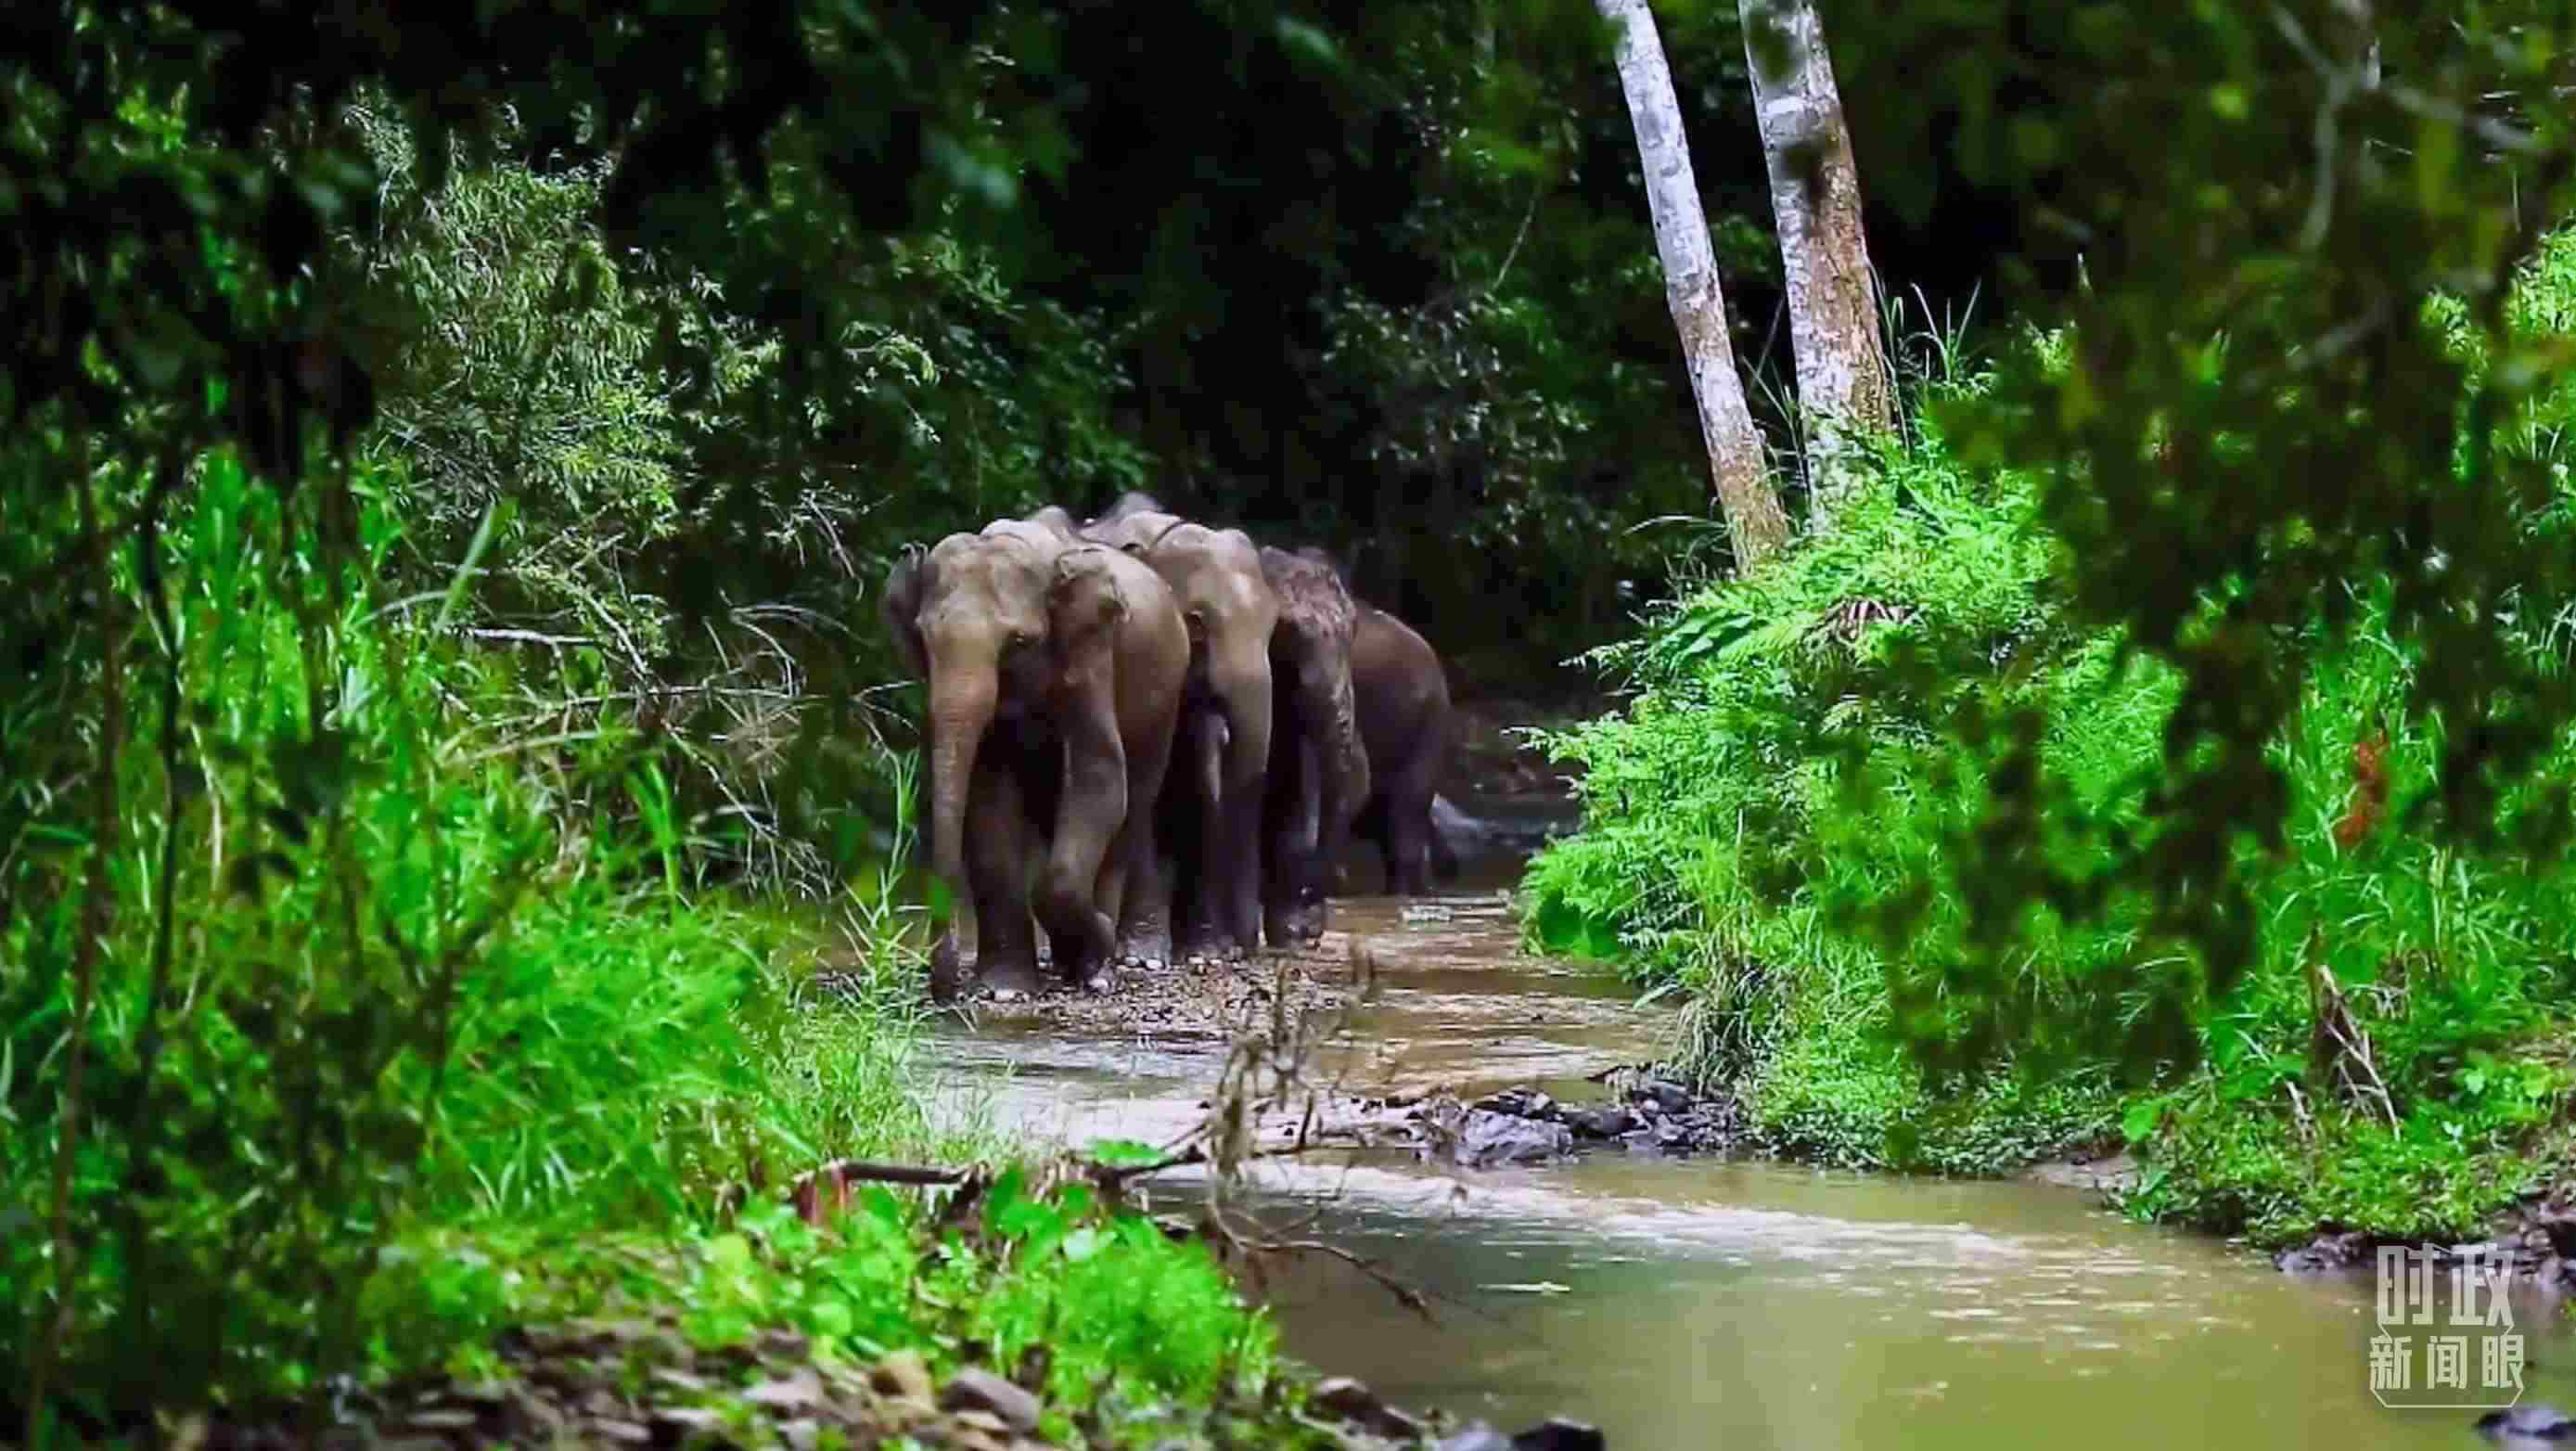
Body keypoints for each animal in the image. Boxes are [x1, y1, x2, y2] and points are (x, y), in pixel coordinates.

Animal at [880, 519, 1190, 999]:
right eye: (924, 639)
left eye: (1018, 642)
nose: (944, 990)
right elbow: (989, 798)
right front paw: (1006, 988)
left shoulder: (1091, 651)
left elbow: (1098, 775)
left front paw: (1095, 952)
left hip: (1164, 703)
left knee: (1132, 808)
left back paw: (1099, 968)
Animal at [1078, 501, 1281, 961]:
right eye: (1197, 625)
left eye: (1273, 626)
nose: (1245, 947)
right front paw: (1144, 954)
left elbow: (1195, 790)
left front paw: (1204, 950)